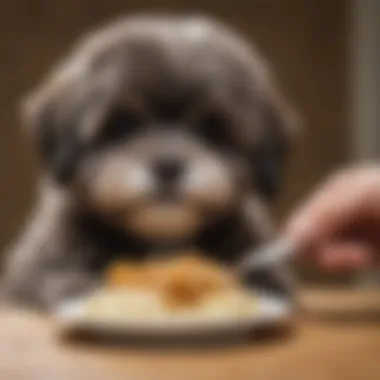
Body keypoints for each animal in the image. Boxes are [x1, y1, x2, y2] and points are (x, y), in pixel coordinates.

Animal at [1, 15, 296, 312]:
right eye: (123, 124)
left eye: (212, 128)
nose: (168, 167)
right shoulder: (34, 268)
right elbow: (54, 277)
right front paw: (84, 292)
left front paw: (263, 288)